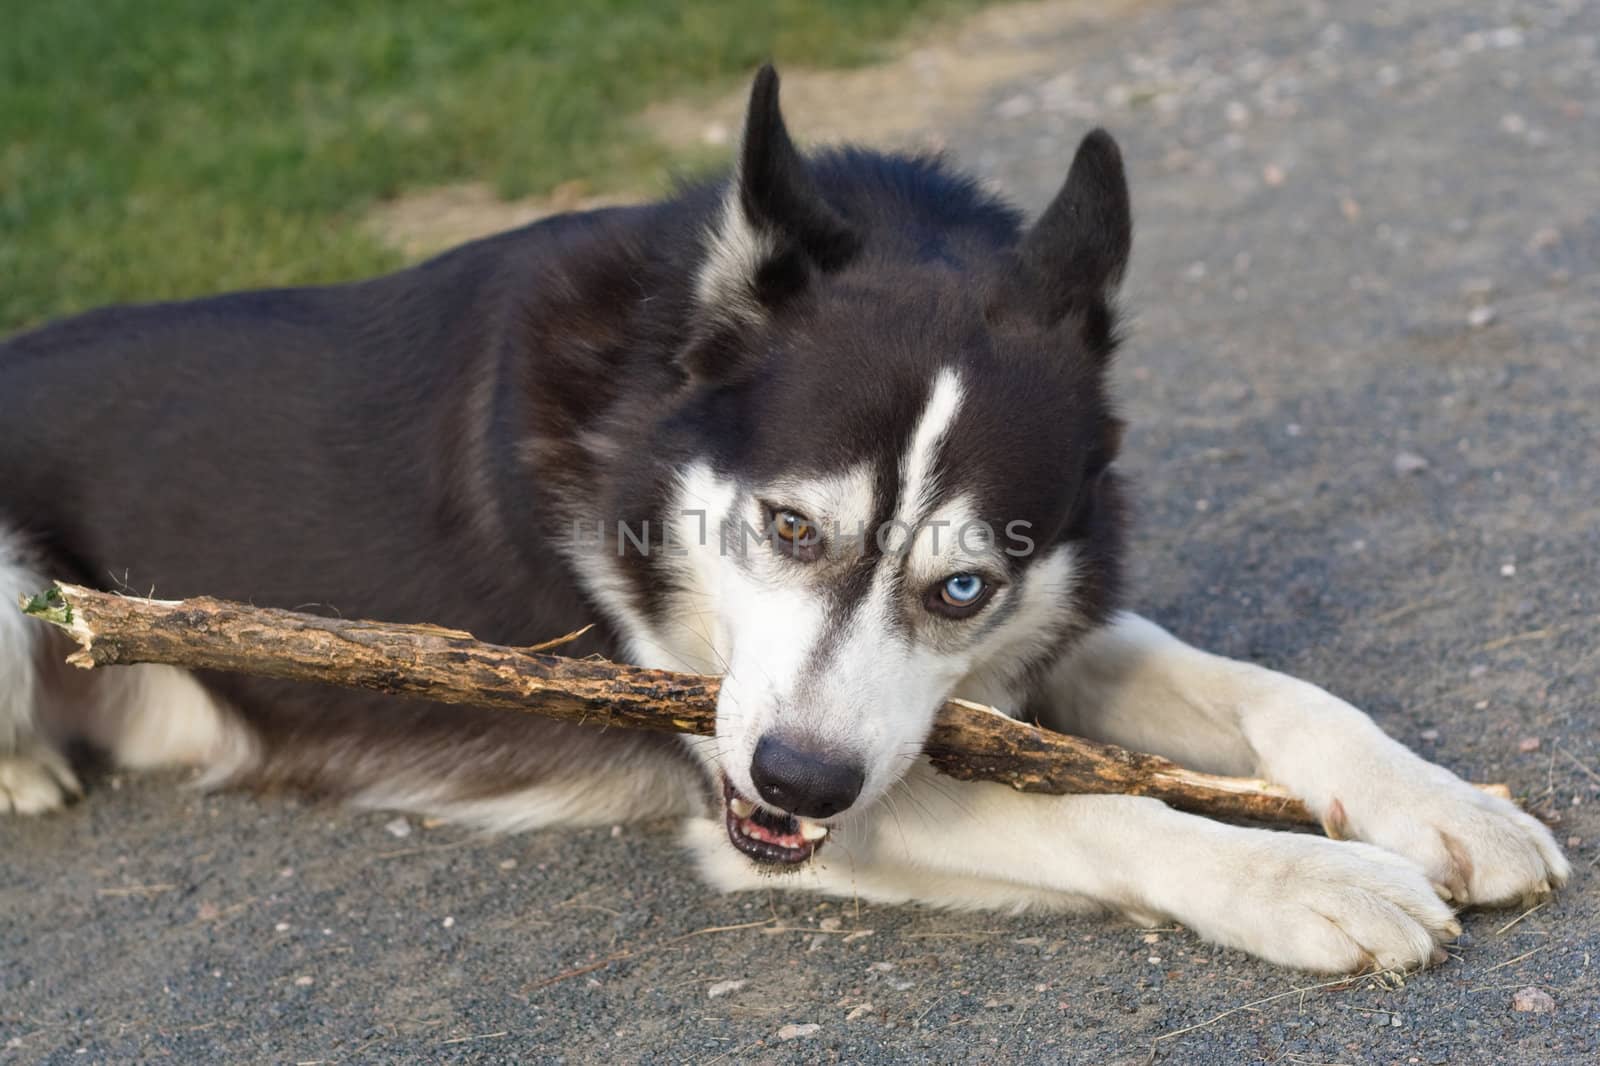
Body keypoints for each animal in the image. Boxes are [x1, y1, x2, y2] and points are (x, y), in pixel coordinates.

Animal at [6, 64, 1568, 960]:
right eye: (790, 530)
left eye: (964, 587)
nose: (800, 784)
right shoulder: (766, 771)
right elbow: (1105, 812)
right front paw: (1305, 876)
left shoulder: (1028, 634)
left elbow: (1271, 691)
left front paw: (1436, 804)